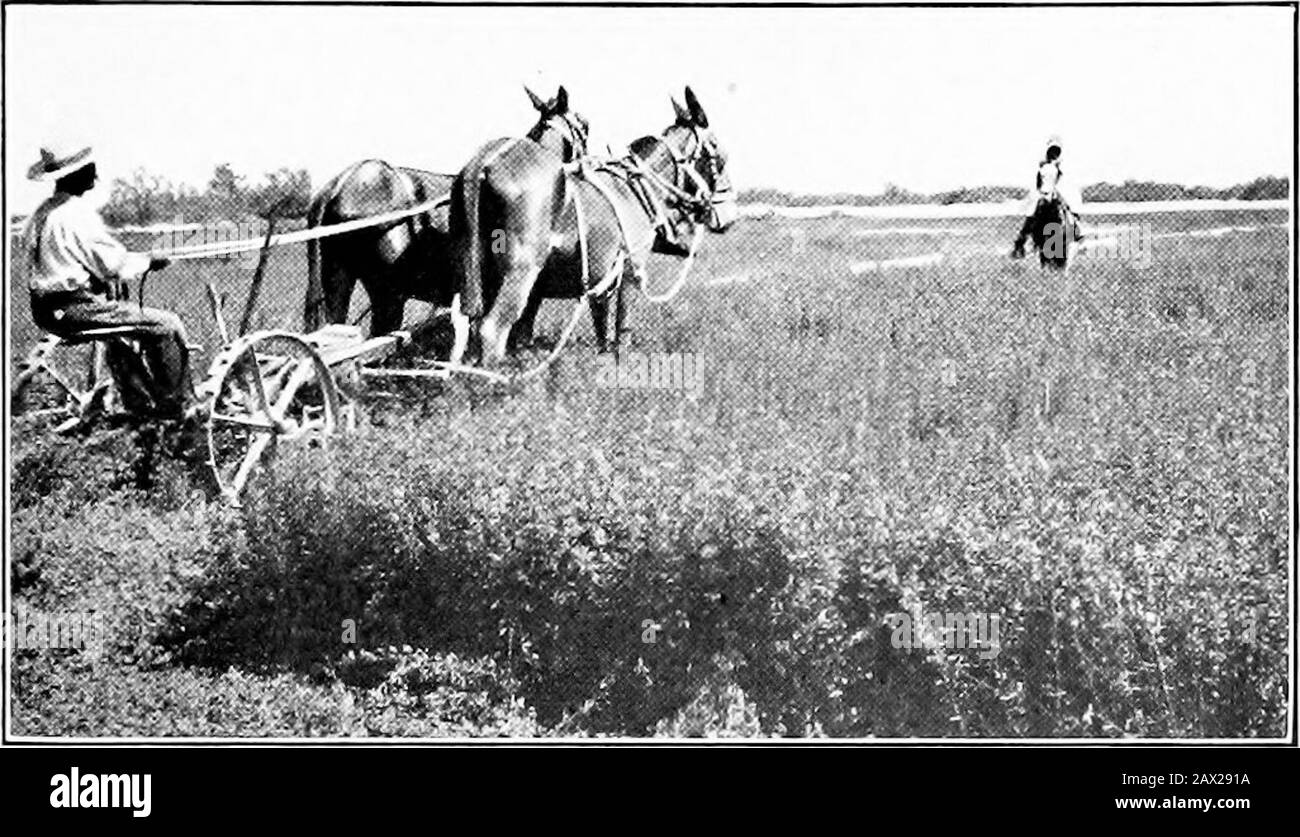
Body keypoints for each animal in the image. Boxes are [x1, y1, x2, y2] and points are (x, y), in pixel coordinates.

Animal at [449, 86, 738, 363]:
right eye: (719, 153)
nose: (729, 213)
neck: (636, 189)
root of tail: (482, 166)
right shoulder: (630, 273)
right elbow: (622, 327)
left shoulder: (598, 282)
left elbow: (598, 326)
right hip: (521, 270)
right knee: (492, 329)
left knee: (472, 329)